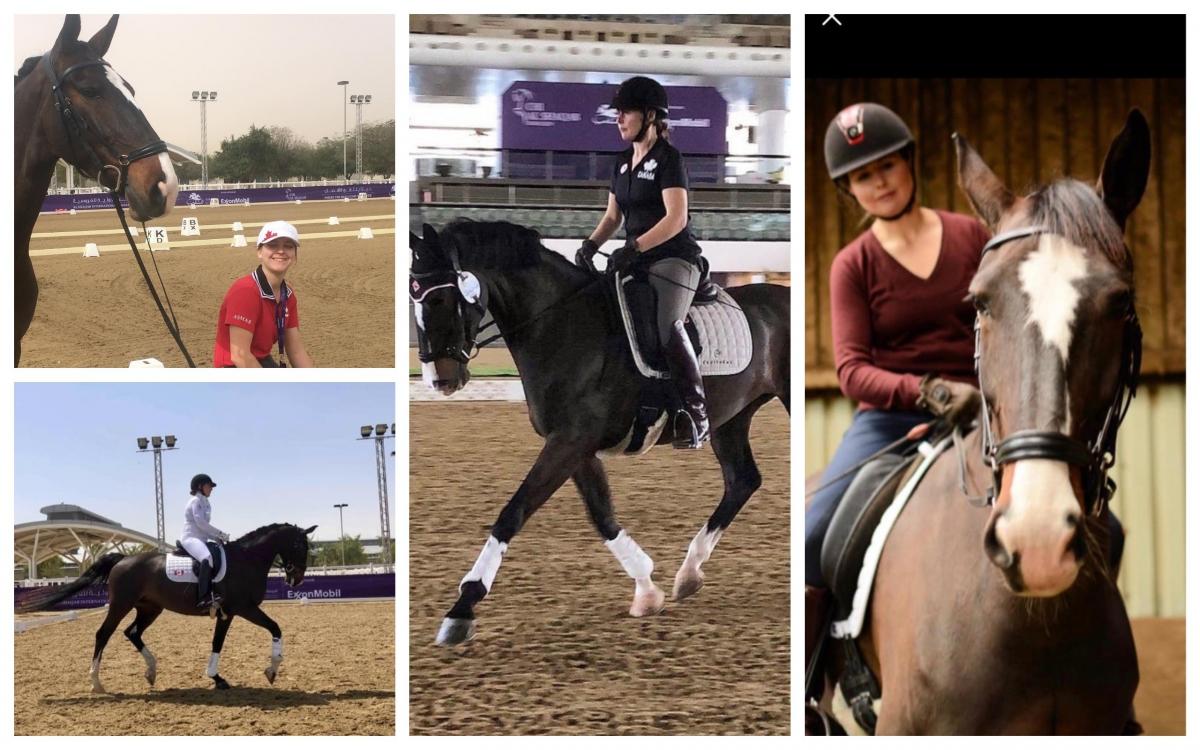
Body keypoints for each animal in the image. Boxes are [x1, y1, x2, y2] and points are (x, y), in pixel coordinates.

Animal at [18, 520, 316, 691]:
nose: (296, 578)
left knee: (132, 632)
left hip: (150, 608)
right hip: (121, 604)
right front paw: (272, 670)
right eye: (300, 545)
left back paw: (151, 671)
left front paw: (217, 678)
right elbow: (275, 628)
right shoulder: (244, 608)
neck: (246, 560)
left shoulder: (227, 613)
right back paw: (96, 682)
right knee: (104, 634)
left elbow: (217, 643)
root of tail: (122, 559)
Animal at [408, 218, 792, 643]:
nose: (440, 379)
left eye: (441, 300)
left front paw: (461, 610)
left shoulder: (570, 442)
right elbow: (601, 514)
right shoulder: (574, 445)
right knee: (742, 480)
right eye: (414, 297)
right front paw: (647, 590)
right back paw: (688, 574)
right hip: (732, 417)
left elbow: (513, 512)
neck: (561, 325)